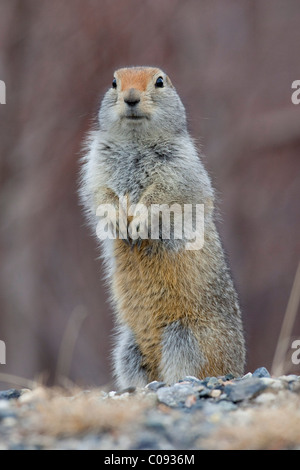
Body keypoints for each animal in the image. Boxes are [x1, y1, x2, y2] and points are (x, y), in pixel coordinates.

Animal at [80, 67, 246, 390]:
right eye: (114, 82)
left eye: (159, 81)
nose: (131, 98)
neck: (135, 142)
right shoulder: (96, 167)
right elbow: (101, 195)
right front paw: (119, 221)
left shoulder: (178, 168)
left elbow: (163, 196)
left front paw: (138, 222)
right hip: (127, 347)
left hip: (184, 338)